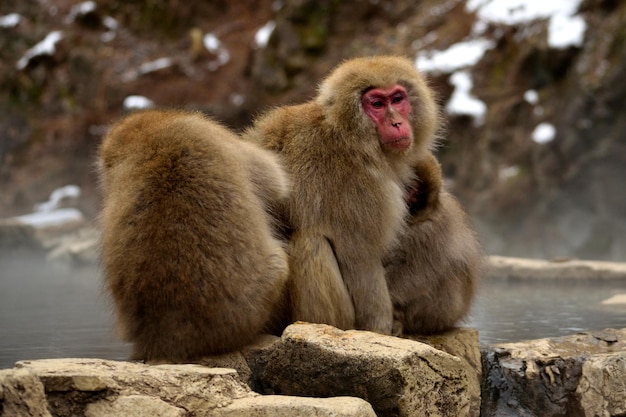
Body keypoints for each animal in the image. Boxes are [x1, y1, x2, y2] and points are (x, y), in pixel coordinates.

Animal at [241, 56, 436, 334]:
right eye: (377, 104)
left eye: (398, 99)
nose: (397, 123)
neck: (350, 140)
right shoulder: (357, 189)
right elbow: (360, 260)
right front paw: (379, 328)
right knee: (311, 242)